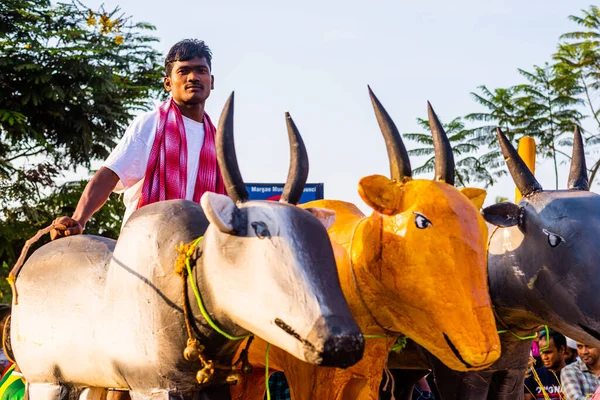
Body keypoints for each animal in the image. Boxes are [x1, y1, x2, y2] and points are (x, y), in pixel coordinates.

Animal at [10, 93, 366, 400]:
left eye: (317, 236)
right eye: (259, 231)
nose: (343, 343)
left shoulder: (214, 385)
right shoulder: (154, 385)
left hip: (90, 379)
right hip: (46, 379)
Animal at [230, 87, 502, 400]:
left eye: (478, 224)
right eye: (421, 220)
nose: (484, 350)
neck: (348, 267)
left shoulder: (367, 374)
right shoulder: (307, 376)